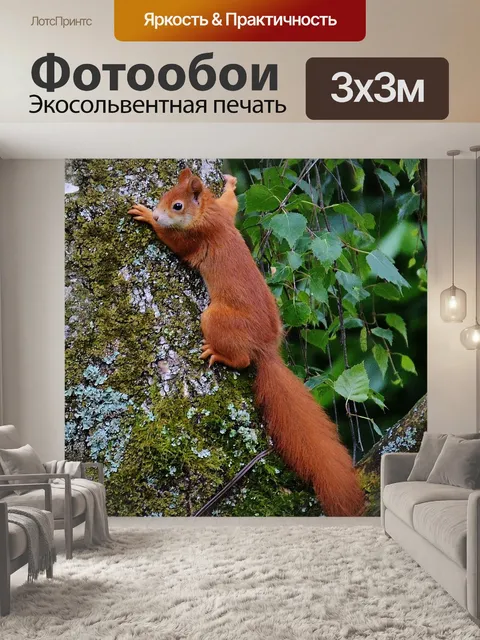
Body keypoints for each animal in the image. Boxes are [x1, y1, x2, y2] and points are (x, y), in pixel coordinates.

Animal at [128, 168, 365, 516]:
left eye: (177, 206)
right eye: (165, 196)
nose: (158, 212)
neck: (207, 213)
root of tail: (266, 349)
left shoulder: (195, 238)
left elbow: (173, 241)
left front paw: (146, 217)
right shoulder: (224, 213)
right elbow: (231, 203)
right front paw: (230, 184)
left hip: (215, 319)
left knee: (241, 361)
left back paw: (219, 355)